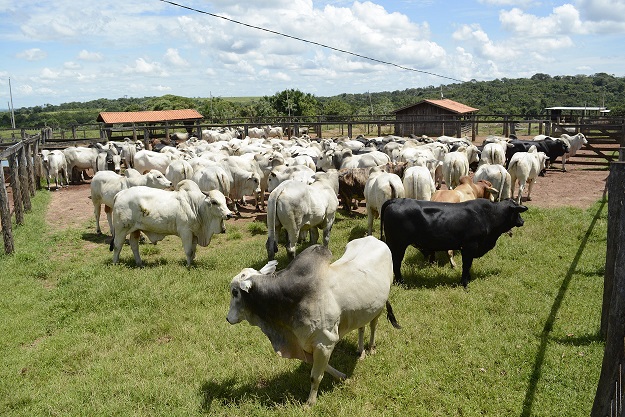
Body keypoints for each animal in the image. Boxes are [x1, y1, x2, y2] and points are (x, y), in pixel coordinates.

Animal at [227, 236, 402, 404]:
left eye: (235, 292)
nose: (228, 318)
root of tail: (375, 239)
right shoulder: (306, 344)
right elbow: (324, 368)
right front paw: (342, 377)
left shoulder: (325, 343)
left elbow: (315, 376)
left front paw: (310, 403)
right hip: (363, 309)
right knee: (361, 327)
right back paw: (361, 352)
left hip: (379, 307)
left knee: (373, 326)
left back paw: (371, 348)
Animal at [380, 197, 528, 288]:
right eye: (517, 212)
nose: (522, 221)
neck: (487, 215)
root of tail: (396, 200)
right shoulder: (470, 245)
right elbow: (466, 264)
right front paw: (465, 283)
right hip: (398, 244)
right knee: (396, 262)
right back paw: (401, 282)